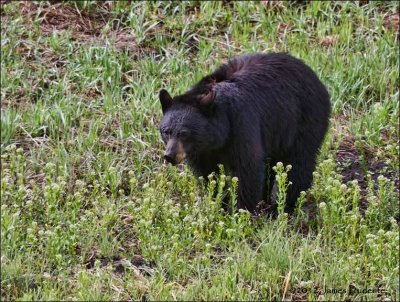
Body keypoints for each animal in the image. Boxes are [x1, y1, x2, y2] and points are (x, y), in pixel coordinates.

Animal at [158, 52, 330, 212]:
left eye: (184, 133)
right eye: (166, 131)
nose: (170, 155)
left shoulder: (241, 124)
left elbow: (248, 167)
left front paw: (238, 210)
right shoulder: (202, 151)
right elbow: (208, 172)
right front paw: (217, 203)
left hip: (304, 119)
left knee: (299, 162)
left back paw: (282, 207)